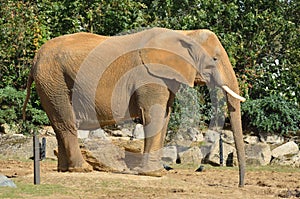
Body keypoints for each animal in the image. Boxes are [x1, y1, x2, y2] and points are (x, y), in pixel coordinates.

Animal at [22, 26, 245, 187]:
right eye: (214, 59)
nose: (240, 185)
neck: (184, 34)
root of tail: (35, 59)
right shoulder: (149, 75)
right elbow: (154, 116)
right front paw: (153, 173)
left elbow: (165, 117)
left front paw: (157, 172)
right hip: (53, 79)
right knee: (66, 123)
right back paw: (82, 169)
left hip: (50, 82)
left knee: (59, 124)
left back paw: (66, 170)